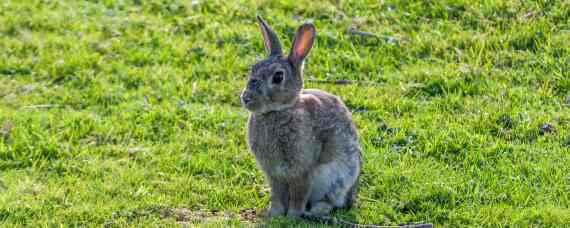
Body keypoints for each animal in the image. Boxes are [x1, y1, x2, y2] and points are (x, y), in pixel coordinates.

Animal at [240, 15, 360, 218]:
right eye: (253, 69)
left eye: (278, 77)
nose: (246, 98)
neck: (278, 111)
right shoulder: (274, 174)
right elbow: (277, 195)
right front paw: (274, 214)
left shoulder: (303, 171)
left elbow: (299, 194)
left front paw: (293, 216)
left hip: (338, 179)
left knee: (331, 201)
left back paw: (315, 212)